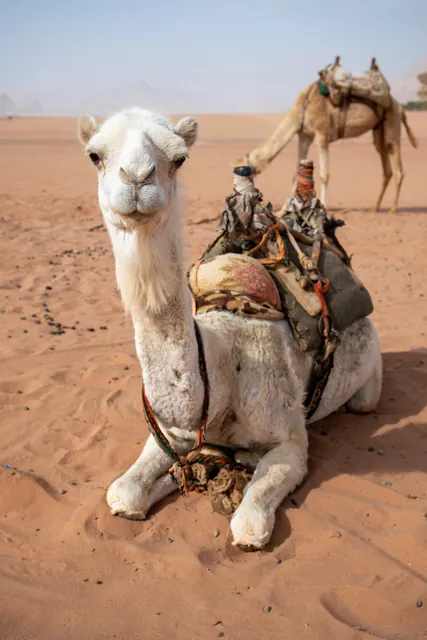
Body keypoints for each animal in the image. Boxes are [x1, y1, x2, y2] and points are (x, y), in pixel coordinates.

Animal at [77, 107, 383, 550]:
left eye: (179, 158)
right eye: (94, 155)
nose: (137, 179)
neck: (220, 376)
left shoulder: (292, 442)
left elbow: (249, 524)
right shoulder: (173, 434)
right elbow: (122, 493)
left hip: (369, 377)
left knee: (363, 402)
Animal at [236, 61, 418, 214]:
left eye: (242, 170)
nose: (237, 191)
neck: (303, 107)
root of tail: (400, 107)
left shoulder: (321, 134)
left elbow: (324, 175)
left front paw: (323, 208)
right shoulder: (305, 135)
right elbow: (296, 173)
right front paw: (283, 211)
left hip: (392, 121)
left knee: (396, 158)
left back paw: (393, 209)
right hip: (378, 129)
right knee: (385, 165)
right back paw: (375, 208)